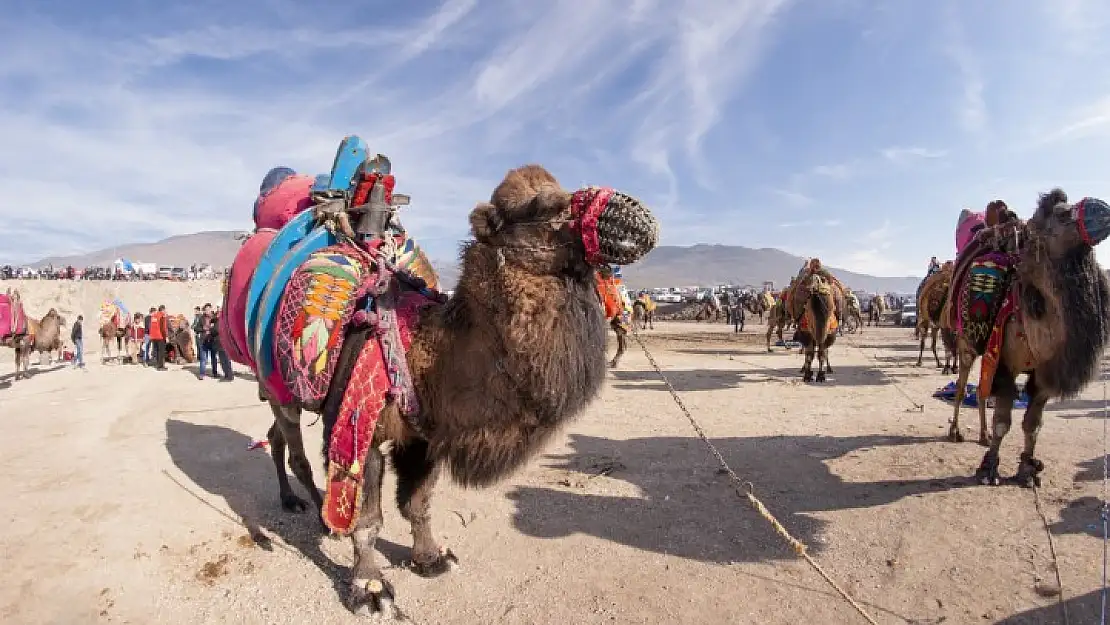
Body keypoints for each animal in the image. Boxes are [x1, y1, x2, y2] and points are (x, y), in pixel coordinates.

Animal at [219, 146, 652, 617]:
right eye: (542, 207)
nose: (634, 215)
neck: (428, 354)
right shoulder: (360, 425)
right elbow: (367, 518)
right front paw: (370, 588)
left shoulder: (424, 434)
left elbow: (417, 503)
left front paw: (430, 559)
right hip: (277, 382)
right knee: (296, 447)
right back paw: (319, 515)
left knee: (275, 436)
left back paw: (296, 502)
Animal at [945, 189, 1110, 488]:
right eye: (1062, 214)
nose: (1103, 209)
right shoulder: (1005, 363)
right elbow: (1003, 421)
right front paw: (989, 469)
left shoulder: (1045, 373)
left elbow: (1032, 425)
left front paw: (1027, 470)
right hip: (966, 342)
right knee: (963, 386)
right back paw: (955, 431)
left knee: (981, 391)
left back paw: (982, 436)